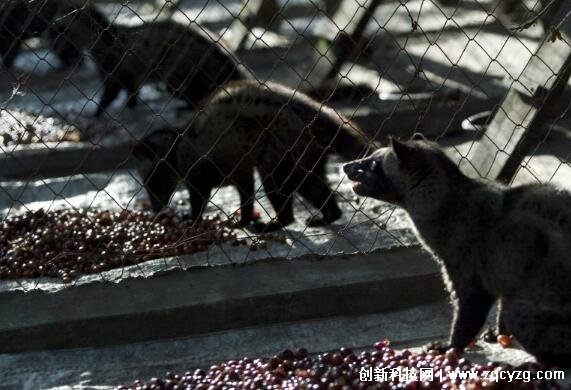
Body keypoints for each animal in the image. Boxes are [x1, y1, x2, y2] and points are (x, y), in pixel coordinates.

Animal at [137, 80, 374, 230]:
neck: (177, 144)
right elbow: (247, 192)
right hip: (305, 154)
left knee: (277, 187)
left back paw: (278, 223)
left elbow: (200, 196)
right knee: (312, 185)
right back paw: (329, 215)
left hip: (280, 146)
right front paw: (244, 217)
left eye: (150, 182)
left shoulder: (199, 167)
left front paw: (193, 220)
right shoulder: (239, 166)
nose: (157, 212)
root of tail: (313, 112)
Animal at [344, 135, 571, 368]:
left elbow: (465, 322)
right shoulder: (502, 278)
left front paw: (449, 347)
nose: (345, 165)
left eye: (373, 163)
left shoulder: (469, 280)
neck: (450, 201)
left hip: (521, 311)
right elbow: (498, 314)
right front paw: (497, 334)